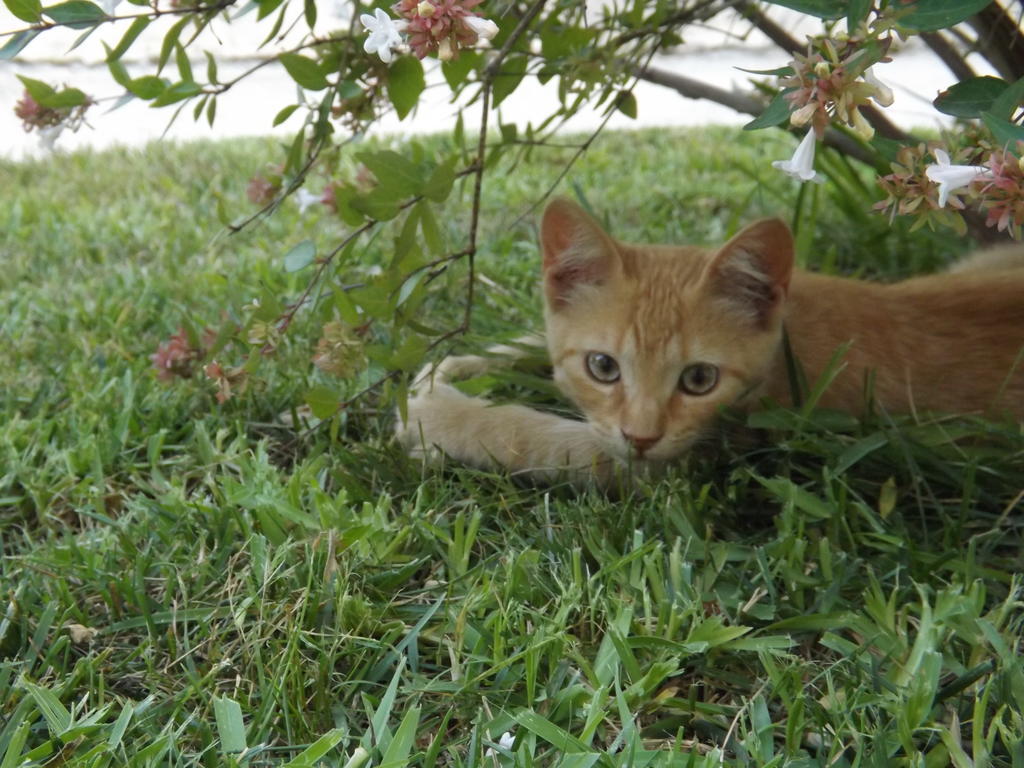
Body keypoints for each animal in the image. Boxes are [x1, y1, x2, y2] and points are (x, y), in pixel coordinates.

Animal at [395, 201, 1024, 483]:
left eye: (700, 379)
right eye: (603, 366)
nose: (642, 436)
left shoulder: (702, 457)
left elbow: (543, 438)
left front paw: (444, 416)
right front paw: (455, 365)